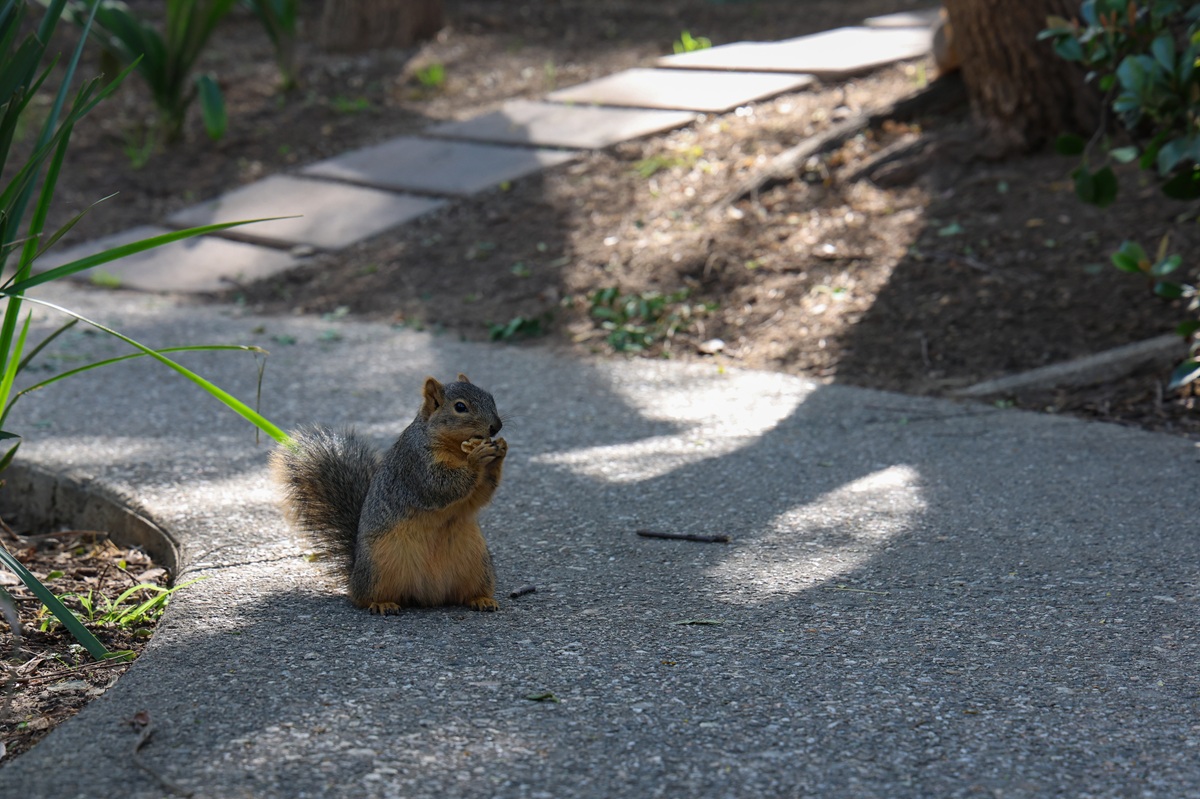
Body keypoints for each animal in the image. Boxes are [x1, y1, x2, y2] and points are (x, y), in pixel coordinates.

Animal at [270, 374, 507, 615]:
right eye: (460, 407)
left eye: (490, 397)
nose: (496, 427)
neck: (456, 448)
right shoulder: (415, 464)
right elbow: (439, 485)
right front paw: (477, 458)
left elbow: (479, 495)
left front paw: (500, 452)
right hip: (378, 567)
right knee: (363, 597)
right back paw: (381, 603)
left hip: (478, 563)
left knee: (467, 591)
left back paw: (482, 599)